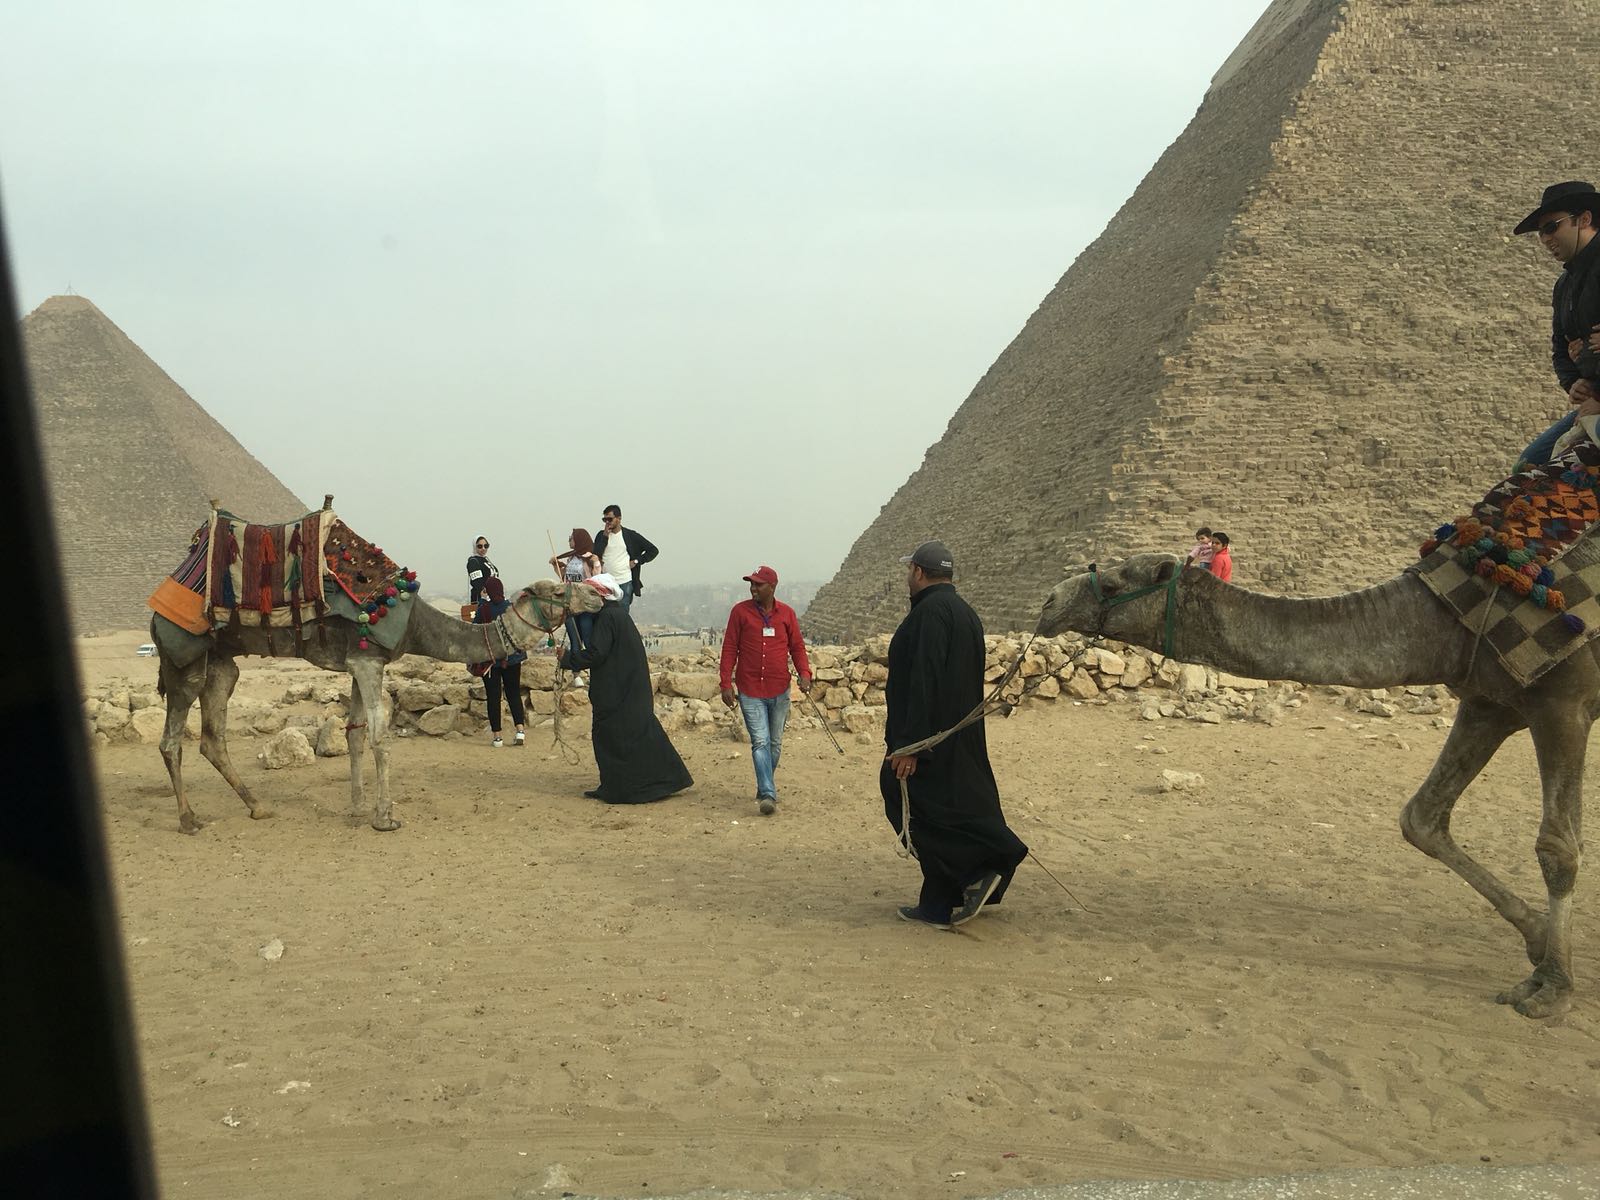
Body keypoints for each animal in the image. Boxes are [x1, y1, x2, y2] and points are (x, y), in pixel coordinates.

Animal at [151, 580, 604, 834]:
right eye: (560, 590)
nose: (601, 595)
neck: (417, 623)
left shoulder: (358, 662)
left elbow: (354, 734)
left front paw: (356, 805)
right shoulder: (369, 661)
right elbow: (380, 739)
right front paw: (384, 817)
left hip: (220, 663)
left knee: (212, 737)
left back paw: (258, 807)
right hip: (184, 659)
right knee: (171, 739)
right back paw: (188, 820)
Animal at [1039, 548, 1592, 1019]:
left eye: (1113, 582)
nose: (1048, 603)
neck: (1437, 619)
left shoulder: (1562, 703)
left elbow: (1557, 847)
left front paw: (1552, 985)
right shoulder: (1489, 703)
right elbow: (1421, 818)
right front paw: (1538, 937)